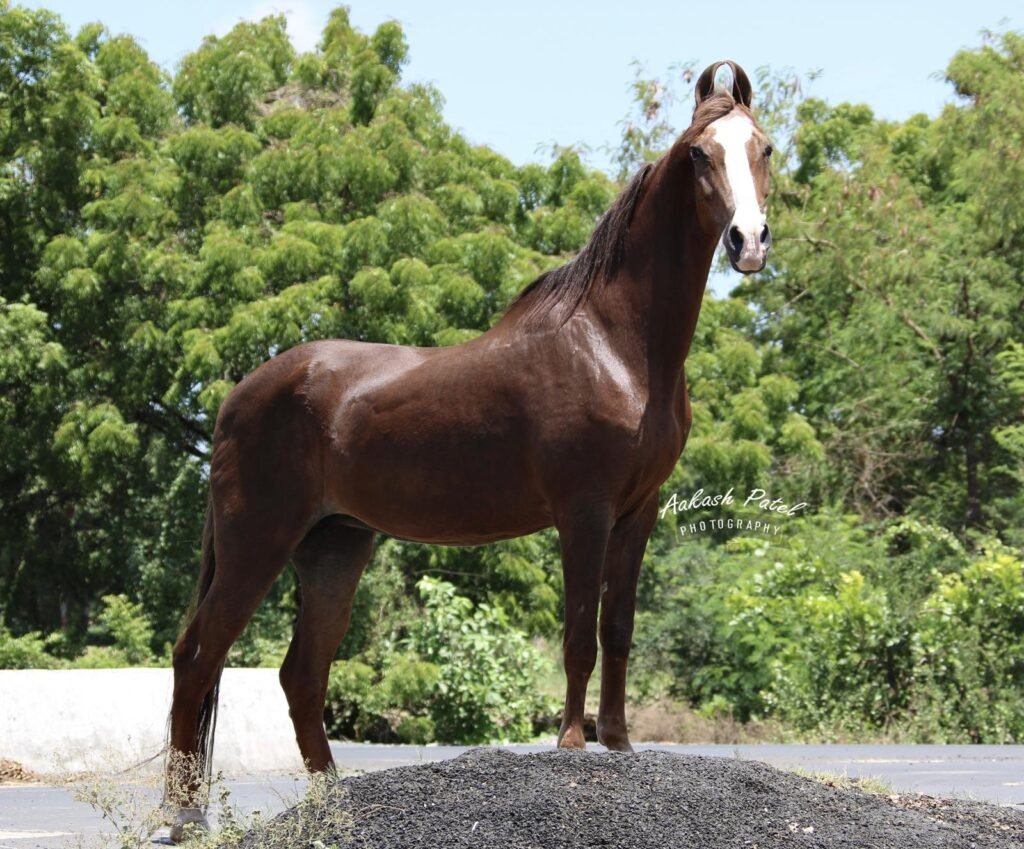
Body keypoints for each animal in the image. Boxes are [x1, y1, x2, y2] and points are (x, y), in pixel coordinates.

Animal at [165, 60, 773, 840]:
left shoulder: (638, 512)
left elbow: (618, 627)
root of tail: (237, 396)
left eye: (763, 147)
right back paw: (183, 815)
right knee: (198, 655)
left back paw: (333, 802)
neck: (616, 344)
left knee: (301, 674)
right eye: (700, 153)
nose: (749, 240)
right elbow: (578, 632)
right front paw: (572, 745)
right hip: (257, 542)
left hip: (334, 547)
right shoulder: (584, 511)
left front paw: (619, 743)